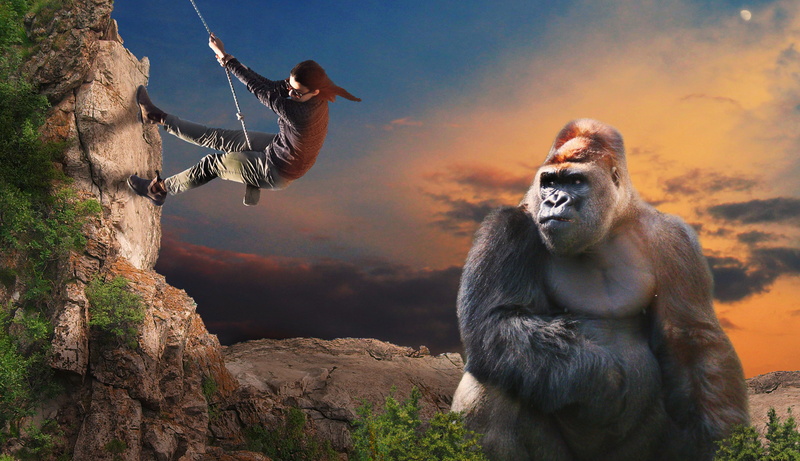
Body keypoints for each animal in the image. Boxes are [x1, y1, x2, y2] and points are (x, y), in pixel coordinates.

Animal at [451, 119, 748, 461]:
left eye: (575, 181)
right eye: (549, 182)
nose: (554, 200)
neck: (610, 226)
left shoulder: (675, 239)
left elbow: (691, 339)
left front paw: (723, 441)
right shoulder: (506, 226)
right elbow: (494, 320)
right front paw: (604, 380)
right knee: (498, 373)